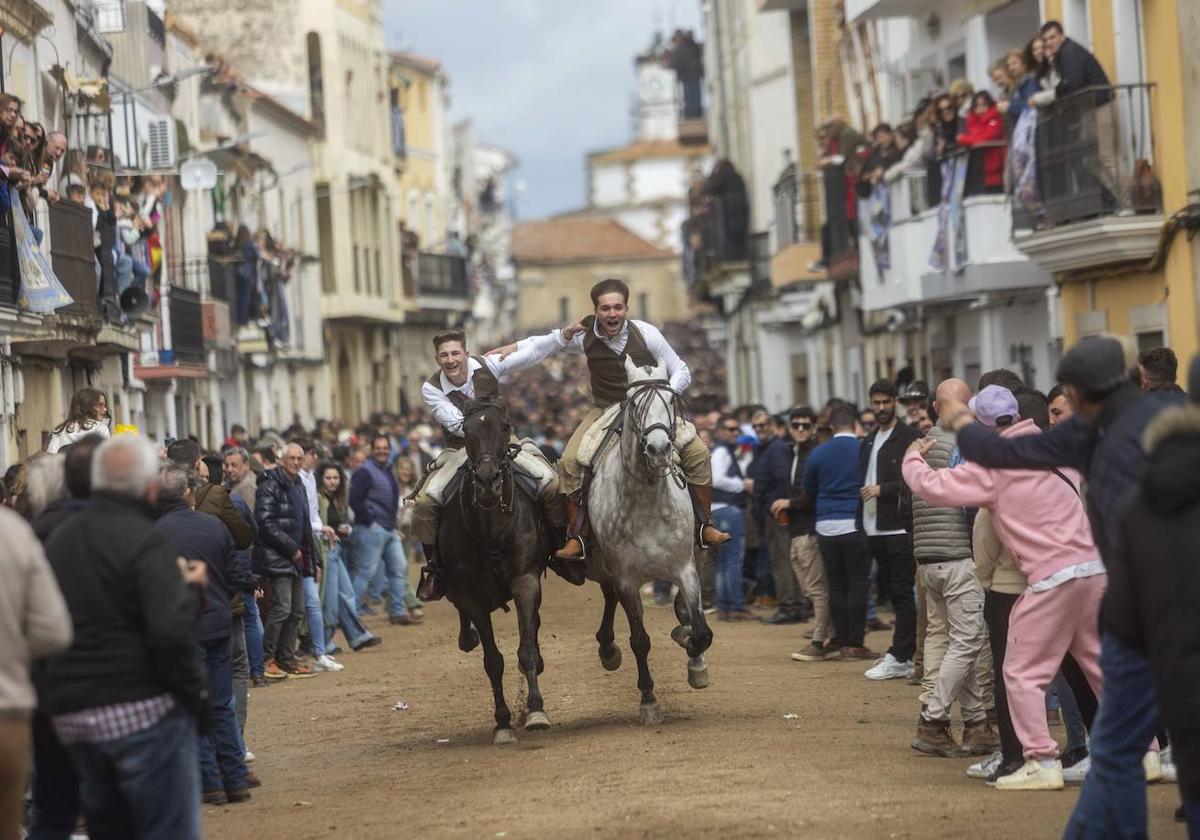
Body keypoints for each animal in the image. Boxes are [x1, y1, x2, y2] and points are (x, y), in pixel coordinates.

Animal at [441, 396, 552, 744]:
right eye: (466, 430)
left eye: (504, 426)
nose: (488, 481)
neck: (491, 527)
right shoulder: (472, 596)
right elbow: (493, 661)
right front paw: (503, 722)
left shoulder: (525, 581)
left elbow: (526, 649)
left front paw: (536, 710)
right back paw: (467, 637)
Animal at [583, 355, 705, 720]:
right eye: (635, 404)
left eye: (671, 401)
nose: (659, 448)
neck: (647, 499)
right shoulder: (626, 579)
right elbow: (640, 640)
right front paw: (649, 700)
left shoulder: (685, 568)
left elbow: (700, 630)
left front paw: (695, 660)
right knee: (610, 598)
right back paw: (608, 649)